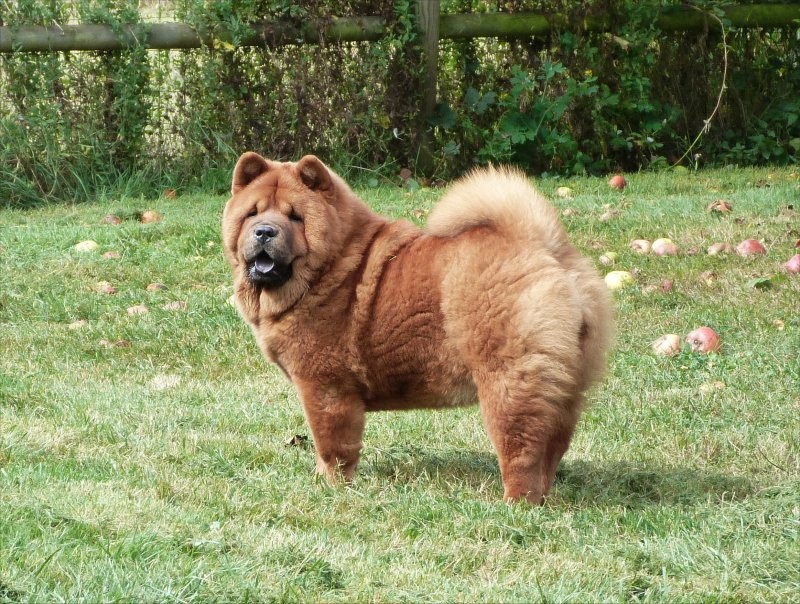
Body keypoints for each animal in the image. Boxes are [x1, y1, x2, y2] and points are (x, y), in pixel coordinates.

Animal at [222, 153, 608, 502]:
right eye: (252, 213)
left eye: (295, 217)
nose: (264, 231)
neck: (331, 268)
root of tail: (545, 249)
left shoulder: (325, 386)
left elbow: (332, 445)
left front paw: (332, 486)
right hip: (566, 386)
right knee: (553, 446)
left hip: (508, 382)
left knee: (522, 449)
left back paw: (516, 504)